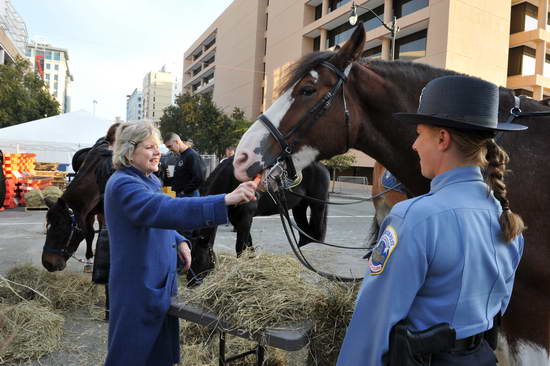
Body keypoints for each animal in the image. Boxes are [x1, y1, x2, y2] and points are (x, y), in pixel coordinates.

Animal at [190, 156, 330, 284]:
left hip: (317, 206)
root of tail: (323, 167)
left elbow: (240, 247)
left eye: (196, 258)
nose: (191, 283)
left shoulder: (245, 218)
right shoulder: (237, 219)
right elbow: (249, 246)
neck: (233, 180)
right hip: (299, 208)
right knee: (305, 236)